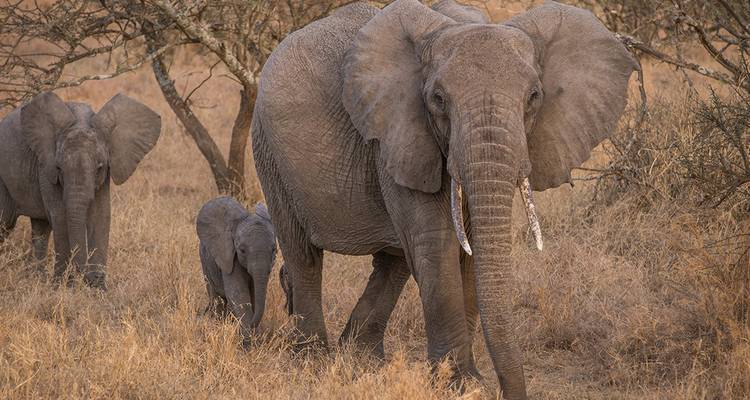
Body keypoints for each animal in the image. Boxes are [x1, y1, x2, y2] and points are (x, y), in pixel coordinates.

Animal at [0, 91, 161, 289]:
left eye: (99, 167)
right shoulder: (46, 167)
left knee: (40, 228)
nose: (88, 278)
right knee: (5, 221)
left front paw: (99, 289)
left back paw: (37, 279)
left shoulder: (105, 174)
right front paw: (62, 287)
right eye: (59, 168)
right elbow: (61, 217)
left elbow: (100, 216)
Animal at [197, 197, 277, 338]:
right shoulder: (229, 257)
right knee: (216, 297)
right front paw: (248, 337)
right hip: (205, 262)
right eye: (242, 250)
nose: (253, 325)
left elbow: (254, 294)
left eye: (274, 250)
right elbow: (238, 293)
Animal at [251, 0, 636, 398]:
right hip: (269, 153)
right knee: (304, 254)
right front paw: (457, 384)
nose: (507, 391)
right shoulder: (398, 135)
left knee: (394, 261)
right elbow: (437, 244)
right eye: (438, 99)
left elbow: (470, 247)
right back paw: (313, 360)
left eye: (534, 97)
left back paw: (360, 360)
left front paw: (469, 382)